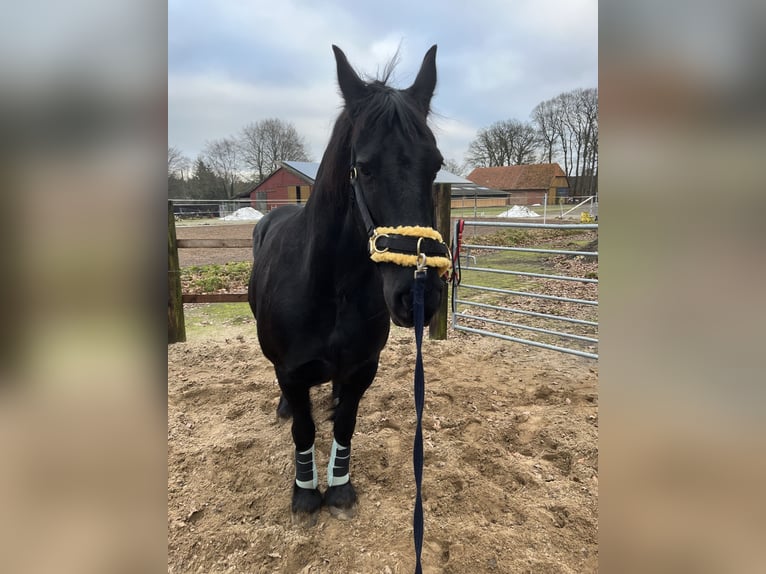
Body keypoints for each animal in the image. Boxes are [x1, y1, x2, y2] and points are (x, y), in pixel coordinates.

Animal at [248, 44, 450, 523]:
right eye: (364, 167)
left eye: (435, 165)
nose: (418, 294)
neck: (328, 289)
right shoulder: (291, 372)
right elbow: (304, 429)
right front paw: (306, 493)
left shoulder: (361, 370)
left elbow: (345, 423)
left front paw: (339, 488)